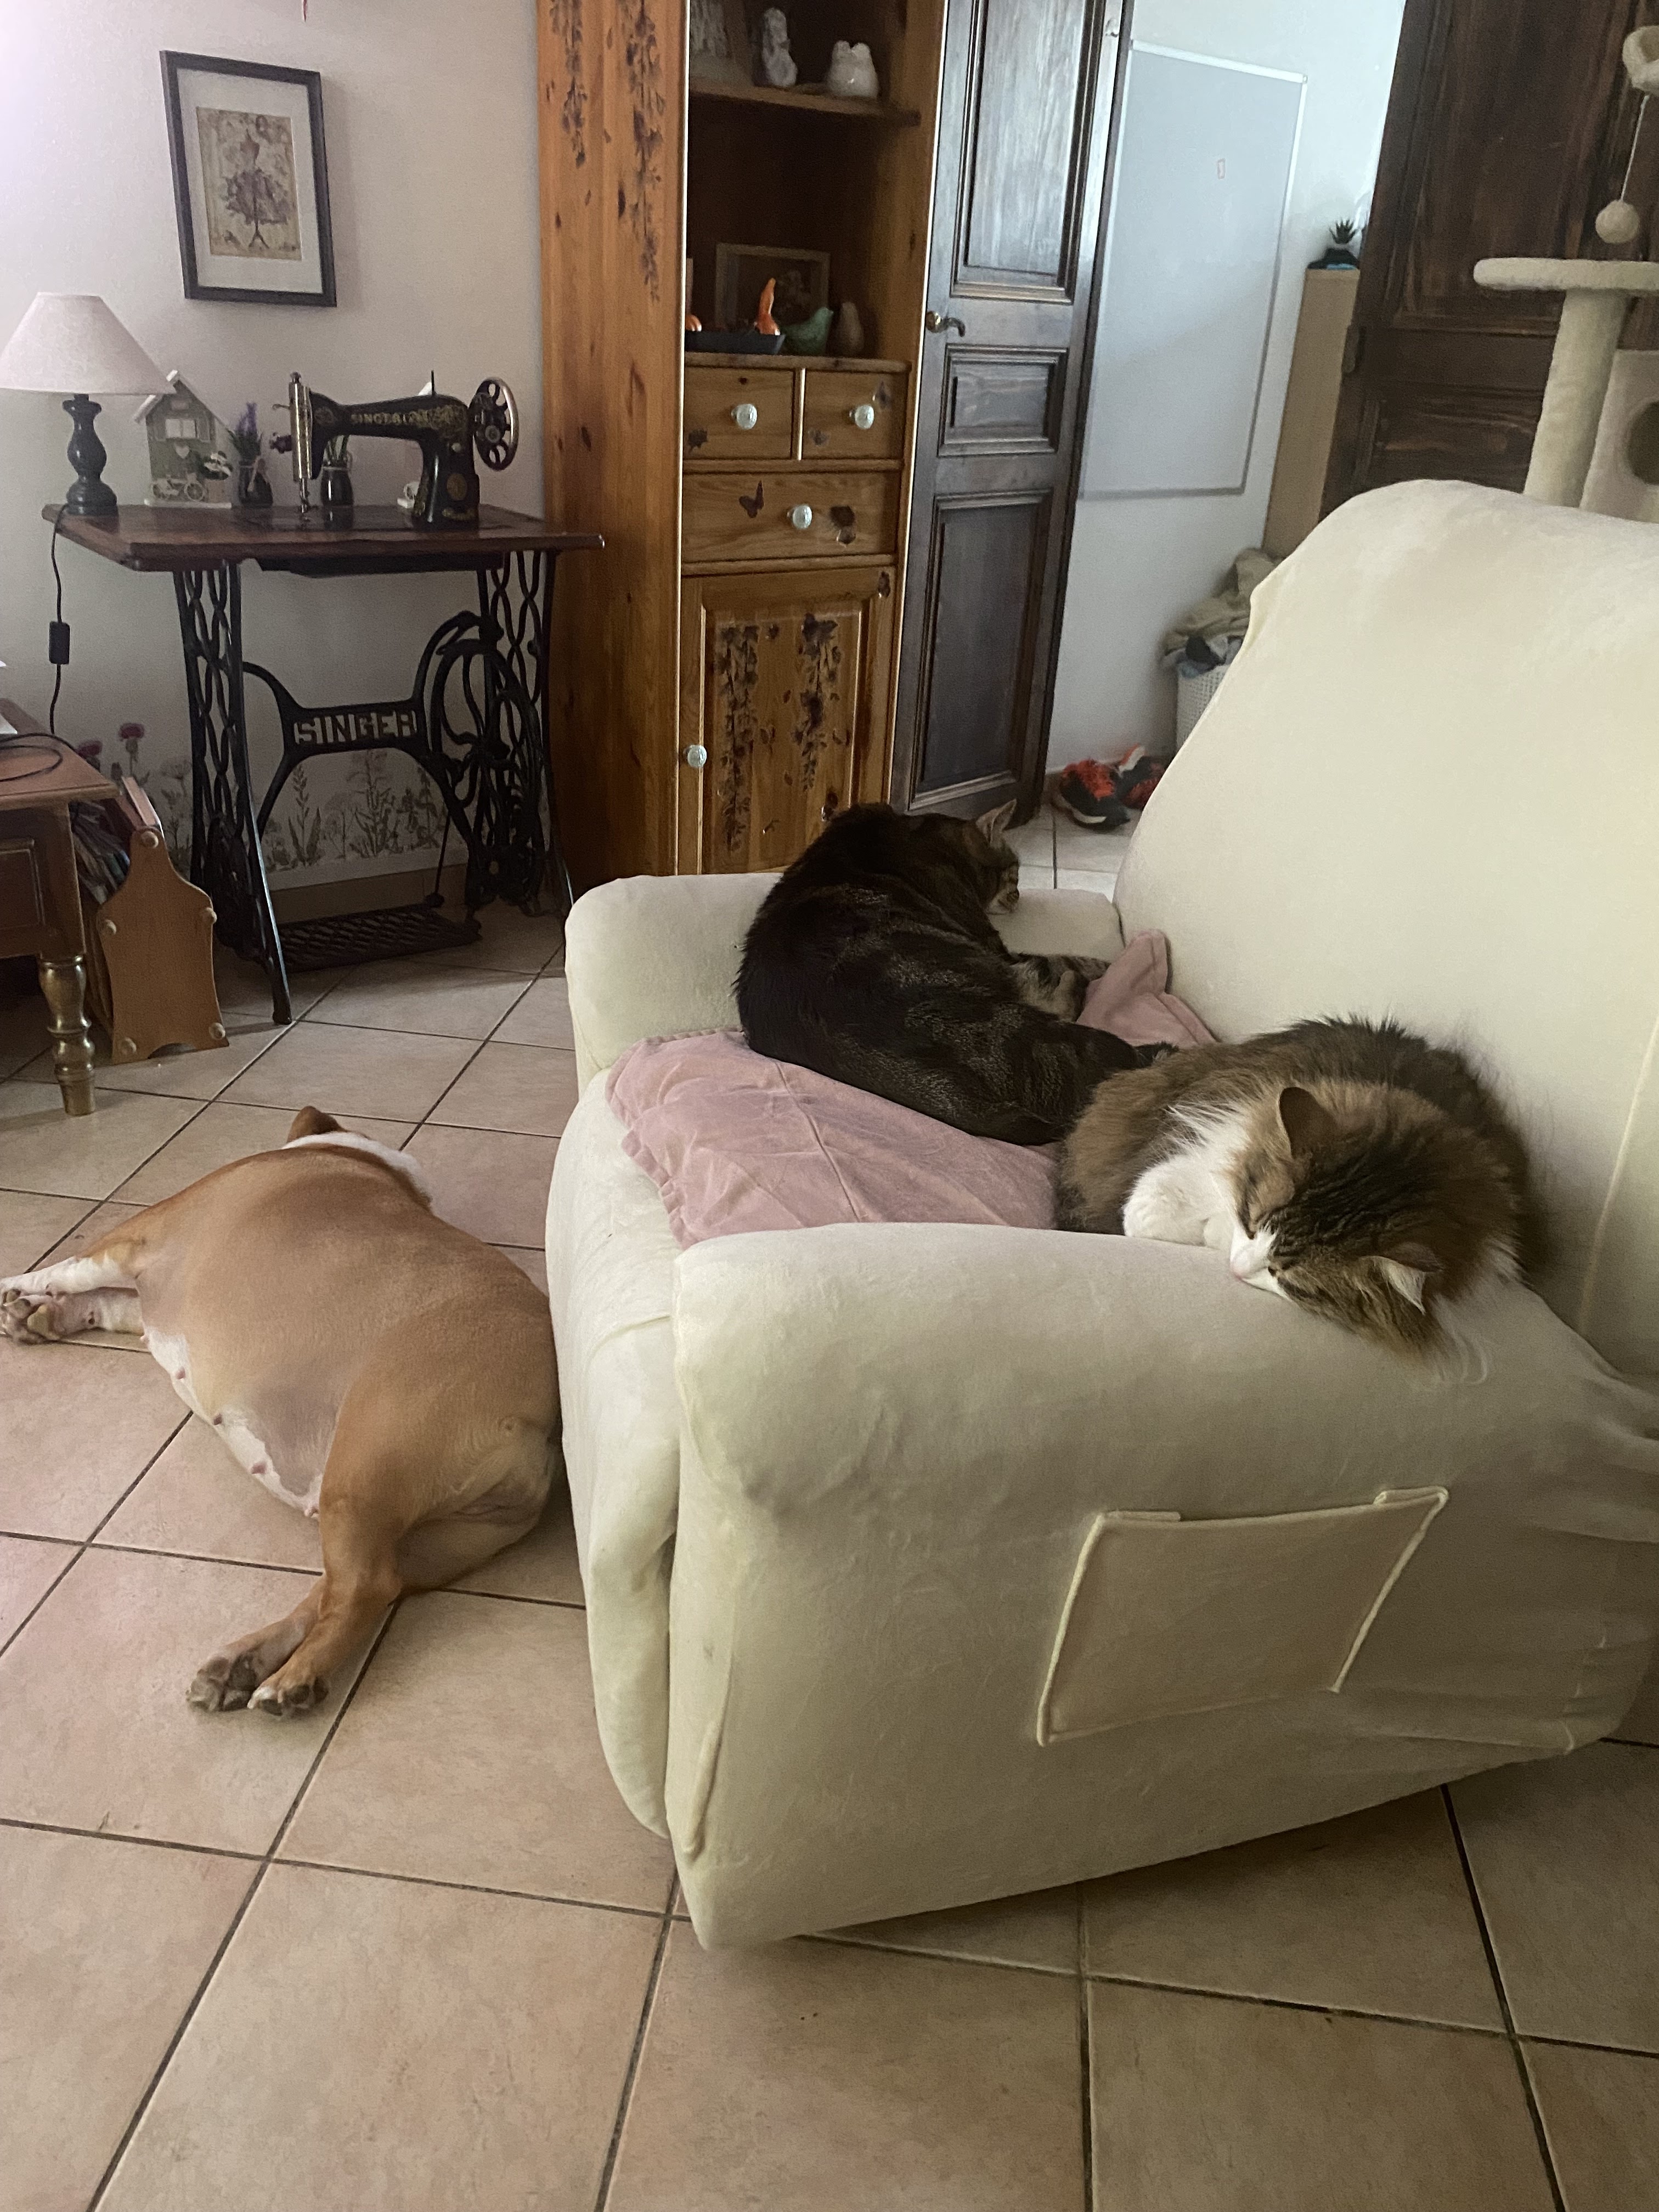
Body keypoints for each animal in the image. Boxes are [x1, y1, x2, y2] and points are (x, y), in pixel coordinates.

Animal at [0, 1107, 559, 1716]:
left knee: (366, 1586)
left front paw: (17, 1291)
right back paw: (243, 1664)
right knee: (351, 1585)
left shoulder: (138, 1237)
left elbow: (63, 1268)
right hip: (436, 1532)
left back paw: (292, 1681)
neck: (354, 1157)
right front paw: (38, 1318)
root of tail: (546, 1411)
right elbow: (108, 1302)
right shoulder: (147, 1299)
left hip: (363, 1470)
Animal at [737, 802, 1149, 1144]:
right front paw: (1104, 965)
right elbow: (1072, 959)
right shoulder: (996, 947)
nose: (1018, 898)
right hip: (1051, 1036)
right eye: (1015, 872)